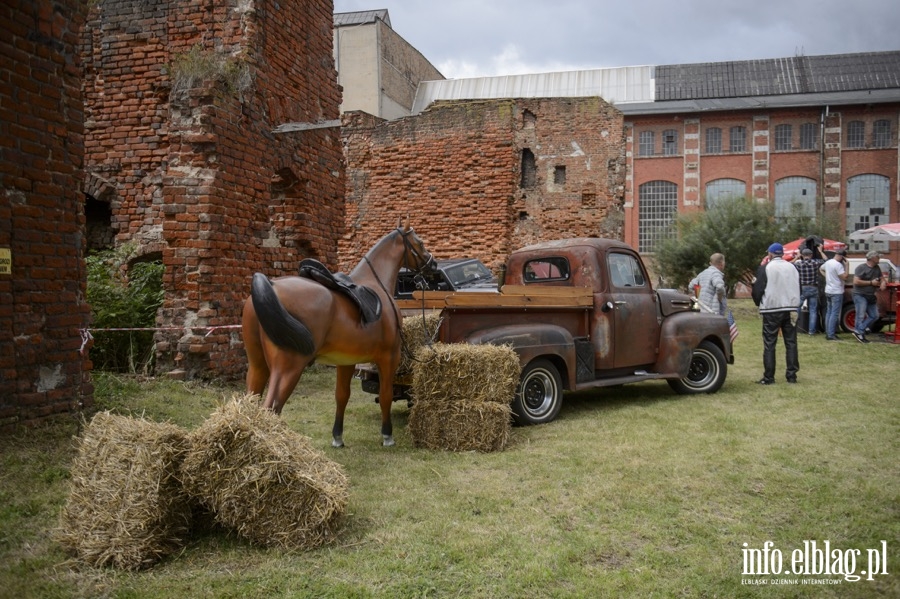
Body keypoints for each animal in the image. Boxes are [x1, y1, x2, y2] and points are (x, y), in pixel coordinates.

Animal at [243, 223, 432, 448]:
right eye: (420, 242)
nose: (432, 264)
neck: (377, 284)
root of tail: (271, 285)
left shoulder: (346, 361)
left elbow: (341, 396)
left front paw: (338, 437)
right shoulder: (389, 357)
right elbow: (385, 396)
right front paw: (387, 436)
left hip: (258, 365)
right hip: (288, 368)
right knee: (271, 407)